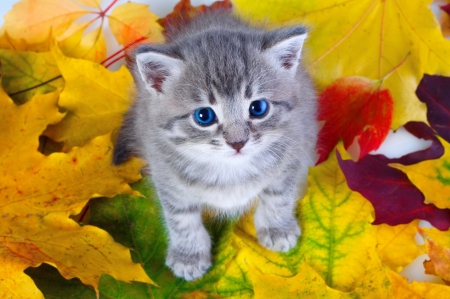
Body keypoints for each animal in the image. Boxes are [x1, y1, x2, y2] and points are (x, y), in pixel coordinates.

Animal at [114, 9, 318, 282]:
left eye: (258, 108)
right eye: (204, 116)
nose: (238, 142)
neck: (229, 172)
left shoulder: (291, 153)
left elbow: (278, 196)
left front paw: (277, 228)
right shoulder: (165, 173)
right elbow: (181, 219)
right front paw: (189, 255)